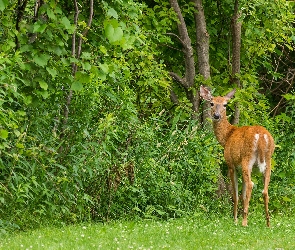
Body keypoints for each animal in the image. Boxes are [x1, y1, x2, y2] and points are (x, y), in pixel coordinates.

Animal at [200, 85, 276, 227]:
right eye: (212, 103)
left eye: (225, 104)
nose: (216, 115)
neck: (227, 137)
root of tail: (261, 137)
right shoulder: (240, 169)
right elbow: (242, 195)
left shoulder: (231, 165)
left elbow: (235, 195)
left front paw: (235, 219)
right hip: (268, 161)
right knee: (265, 190)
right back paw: (268, 223)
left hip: (247, 159)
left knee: (251, 184)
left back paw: (244, 222)